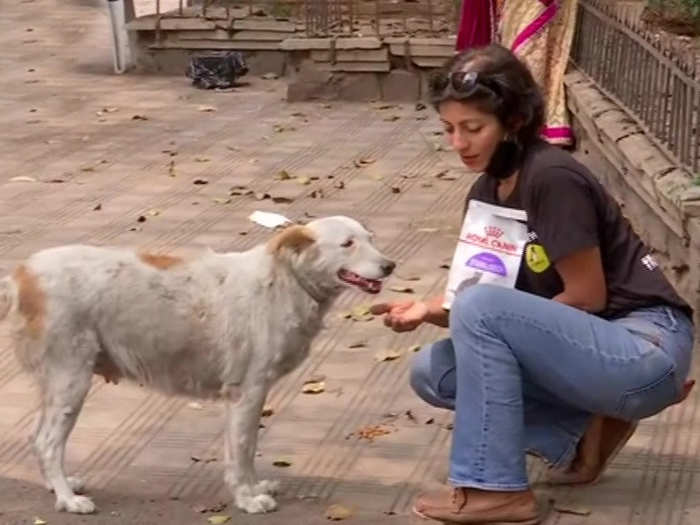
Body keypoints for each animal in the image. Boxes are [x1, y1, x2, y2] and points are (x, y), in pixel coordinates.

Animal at [0, 215, 394, 512]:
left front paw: (254, 488)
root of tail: (21, 274)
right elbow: (242, 450)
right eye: (348, 244)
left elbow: (246, 452)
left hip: (57, 384)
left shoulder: (248, 396)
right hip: (71, 379)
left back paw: (59, 486)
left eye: (370, 239)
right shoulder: (248, 393)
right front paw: (248, 500)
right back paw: (68, 499)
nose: (390, 265)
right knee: (48, 441)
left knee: (37, 437)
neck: (286, 281)